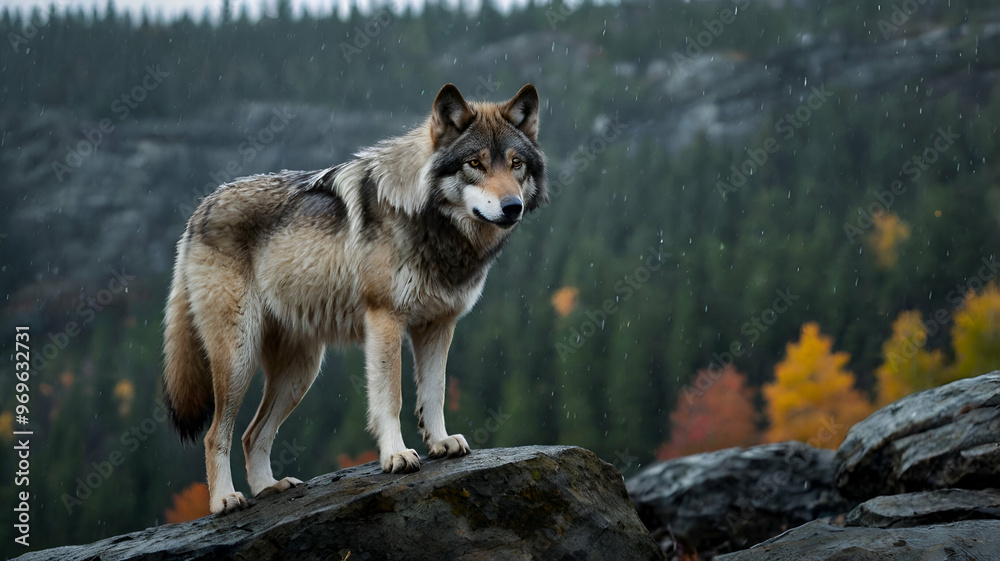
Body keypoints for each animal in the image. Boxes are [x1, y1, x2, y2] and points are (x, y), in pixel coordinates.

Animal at [162, 84, 547, 514]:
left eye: (515, 164)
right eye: (474, 163)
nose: (512, 207)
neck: (430, 222)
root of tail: (199, 210)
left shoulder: (438, 325)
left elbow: (435, 392)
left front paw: (440, 442)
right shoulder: (385, 320)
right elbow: (391, 397)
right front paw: (397, 456)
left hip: (300, 372)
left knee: (252, 434)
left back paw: (269, 488)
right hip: (239, 358)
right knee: (217, 434)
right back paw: (225, 500)